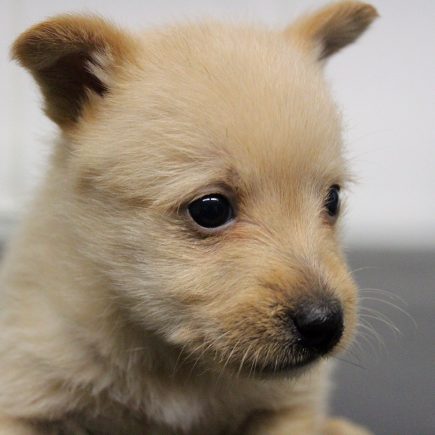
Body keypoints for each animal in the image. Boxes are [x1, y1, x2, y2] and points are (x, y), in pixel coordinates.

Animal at [0, 2, 377, 434]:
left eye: (332, 200)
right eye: (210, 209)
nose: (325, 324)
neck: (172, 362)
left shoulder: (287, 410)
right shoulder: (25, 398)